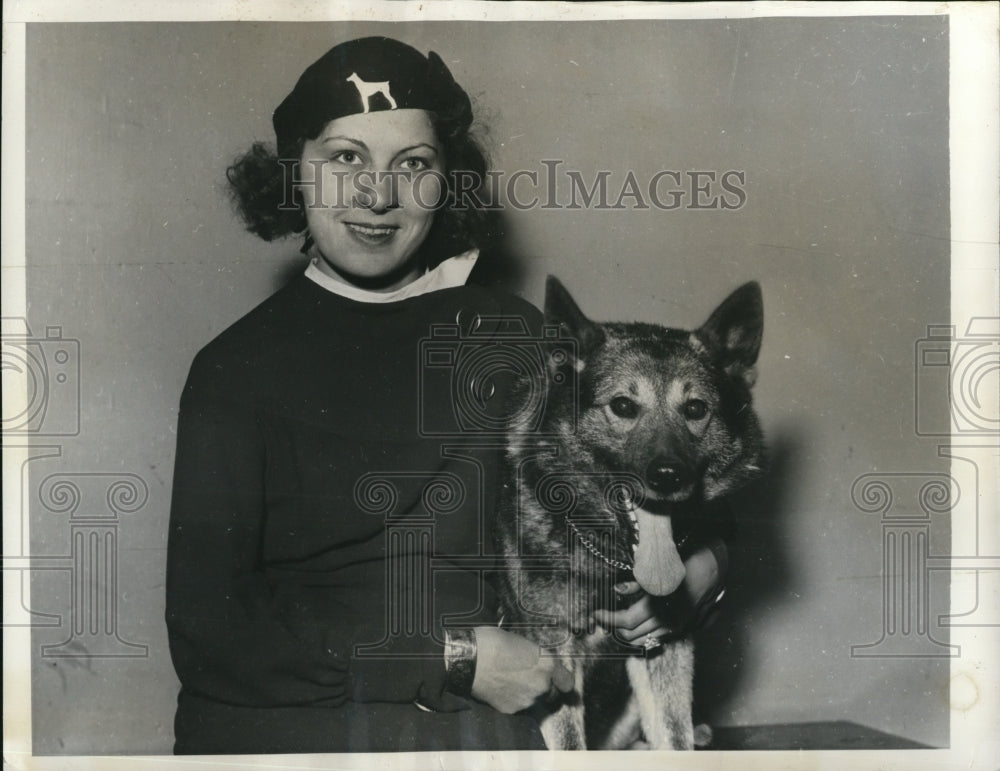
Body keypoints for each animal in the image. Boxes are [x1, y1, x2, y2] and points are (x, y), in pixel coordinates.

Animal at [494, 276, 764, 748]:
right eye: (622, 406)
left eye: (695, 409)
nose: (668, 476)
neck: (611, 559)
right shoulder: (553, 655)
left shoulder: (663, 646)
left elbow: (674, 738)